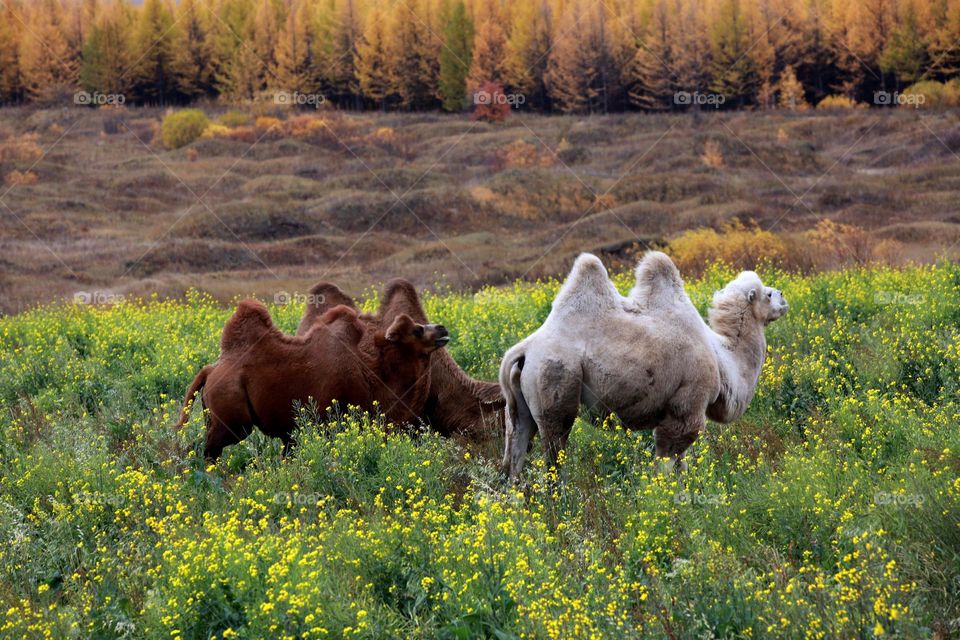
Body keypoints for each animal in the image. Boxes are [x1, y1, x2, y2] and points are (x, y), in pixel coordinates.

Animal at [178, 300, 448, 460]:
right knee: (211, 448)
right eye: (417, 330)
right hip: (232, 414)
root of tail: (211, 369)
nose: (443, 329)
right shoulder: (328, 420)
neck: (374, 375)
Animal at [502, 252, 788, 478]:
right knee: (554, 449)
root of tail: (524, 349)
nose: (783, 296)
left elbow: (681, 467)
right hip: (555, 377)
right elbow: (667, 463)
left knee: (515, 453)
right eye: (767, 294)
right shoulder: (686, 408)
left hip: (519, 404)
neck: (721, 359)